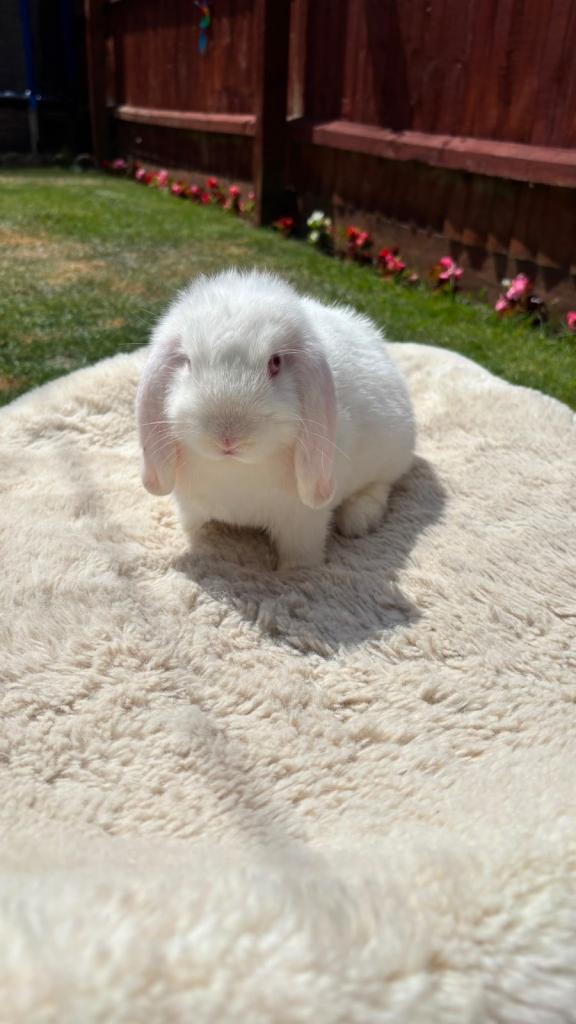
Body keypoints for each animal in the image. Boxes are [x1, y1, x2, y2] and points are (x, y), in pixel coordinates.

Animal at [136, 269, 415, 570]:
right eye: (187, 362)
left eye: (275, 362)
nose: (227, 437)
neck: (235, 469)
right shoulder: (190, 508)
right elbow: (194, 533)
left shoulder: (303, 522)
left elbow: (300, 557)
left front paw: (297, 571)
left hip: (393, 454)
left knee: (381, 485)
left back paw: (359, 519)